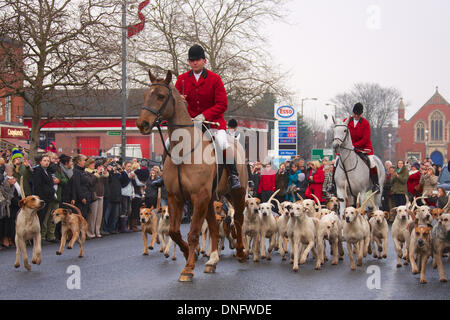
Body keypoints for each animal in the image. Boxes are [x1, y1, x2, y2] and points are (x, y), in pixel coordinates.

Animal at [135, 69, 248, 280]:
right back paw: (212, 260)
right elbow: (174, 232)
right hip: (211, 199)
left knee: (238, 220)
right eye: (145, 95)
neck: (184, 150)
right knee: (214, 226)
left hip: (237, 193)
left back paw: (240, 252)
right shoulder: (176, 197)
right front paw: (189, 253)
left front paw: (188, 268)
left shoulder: (199, 197)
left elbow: (194, 232)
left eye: (160, 96)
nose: (142, 124)